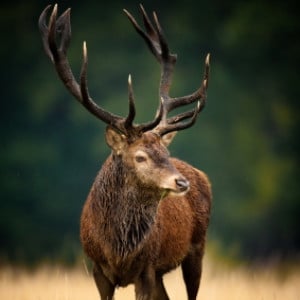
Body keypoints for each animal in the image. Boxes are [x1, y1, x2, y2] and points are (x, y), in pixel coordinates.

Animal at [39, 4, 211, 300]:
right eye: (140, 157)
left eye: (165, 153)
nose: (181, 182)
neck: (118, 251)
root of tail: (200, 175)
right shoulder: (98, 269)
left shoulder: (147, 269)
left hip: (197, 248)